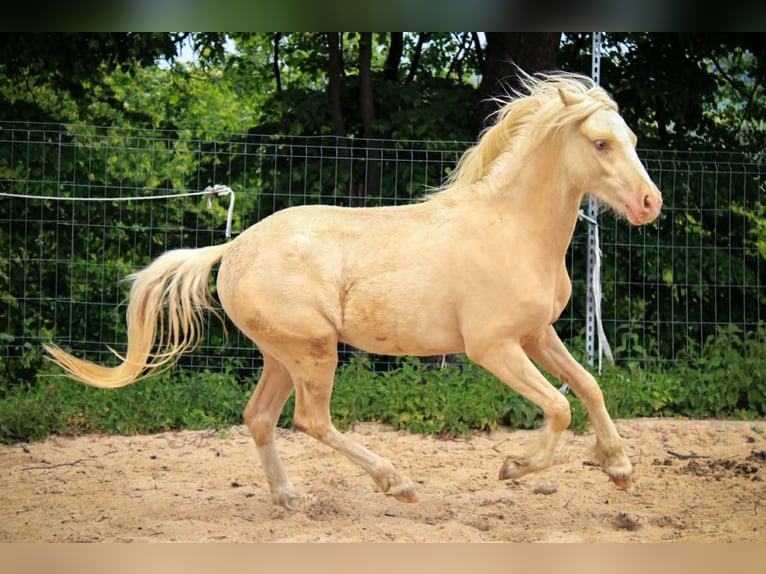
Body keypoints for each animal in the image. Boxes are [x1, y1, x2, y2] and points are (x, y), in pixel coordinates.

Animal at [45, 71, 662, 510]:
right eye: (600, 143)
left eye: (632, 138)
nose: (650, 204)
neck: (511, 228)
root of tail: (234, 248)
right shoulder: (493, 348)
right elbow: (558, 407)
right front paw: (513, 467)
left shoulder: (536, 335)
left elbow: (589, 388)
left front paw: (619, 469)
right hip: (313, 351)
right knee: (310, 421)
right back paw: (397, 482)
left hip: (281, 355)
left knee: (259, 418)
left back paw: (290, 498)